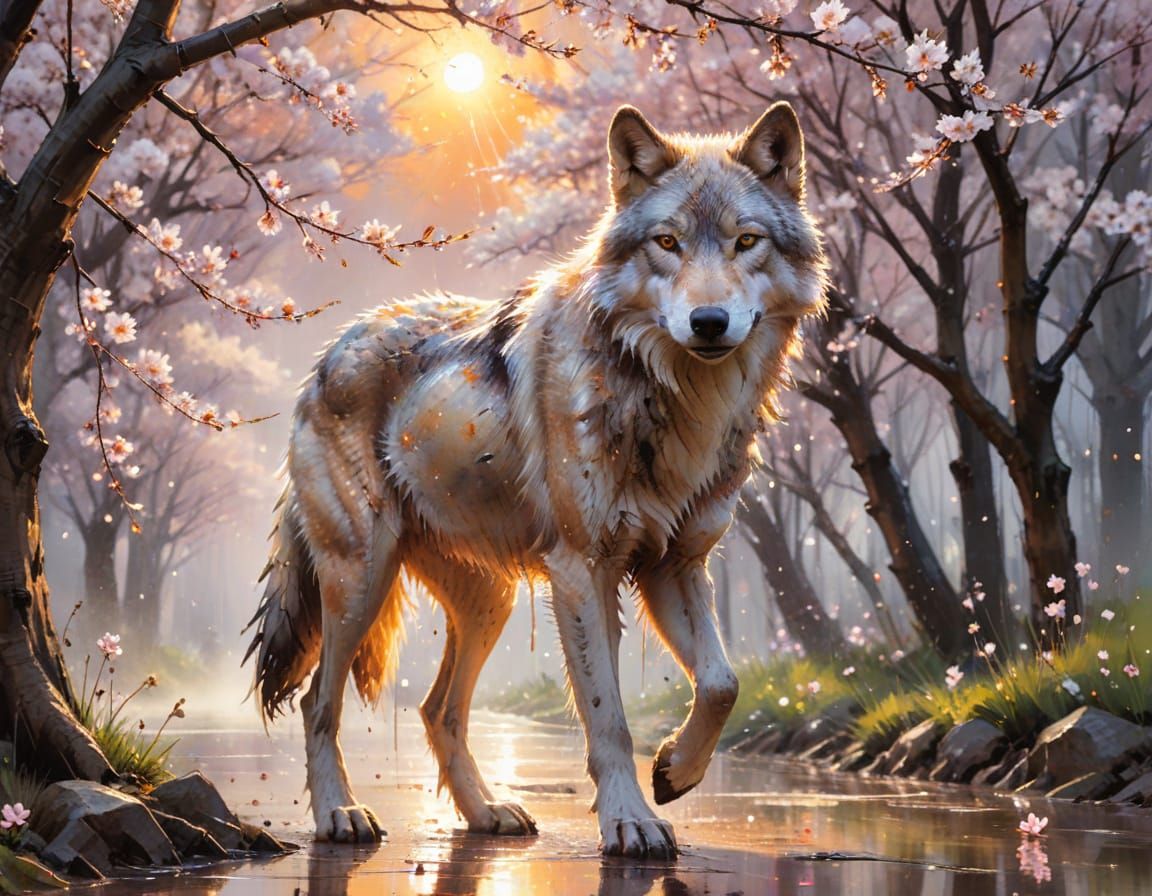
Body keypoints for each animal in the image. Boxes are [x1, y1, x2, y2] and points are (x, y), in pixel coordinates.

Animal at [245, 101, 827, 858]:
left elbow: (723, 683)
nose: (708, 322)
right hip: (359, 580)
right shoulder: (582, 570)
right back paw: (339, 814)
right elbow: (608, 715)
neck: (677, 401)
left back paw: (487, 812)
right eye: (667, 243)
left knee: (437, 709)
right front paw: (631, 820)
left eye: (746, 242)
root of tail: (329, 352)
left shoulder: (674, 565)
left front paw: (676, 770)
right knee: (320, 698)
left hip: (485, 602)